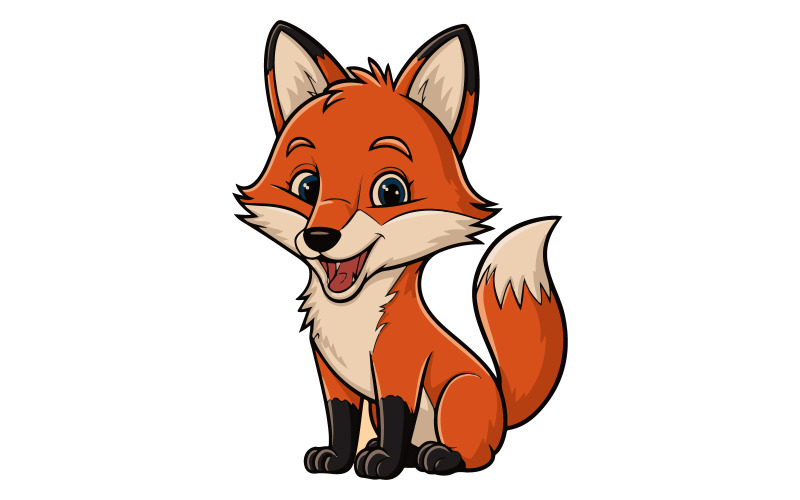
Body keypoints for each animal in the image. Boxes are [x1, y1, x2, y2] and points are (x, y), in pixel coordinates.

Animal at [236, 21, 567, 478]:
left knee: (476, 456)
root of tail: (502, 405)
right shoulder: (332, 374)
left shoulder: (399, 368)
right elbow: (340, 421)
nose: (320, 236)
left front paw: (383, 463)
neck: (352, 320)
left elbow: (396, 417)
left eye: (390, 191)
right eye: (307, 186)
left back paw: (437, 456)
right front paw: (337, 459)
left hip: (457, 393)